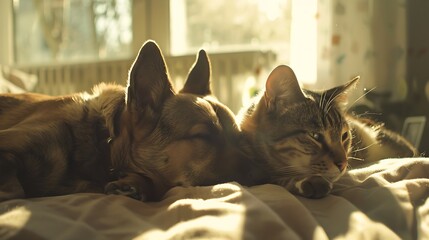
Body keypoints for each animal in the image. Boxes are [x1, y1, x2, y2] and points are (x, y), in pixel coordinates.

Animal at [0, 40, 241, 202]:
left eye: (238, 137)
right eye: (203, 136)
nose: (249, 157)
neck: (103, 142)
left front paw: (134, 184)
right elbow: (16, 187)